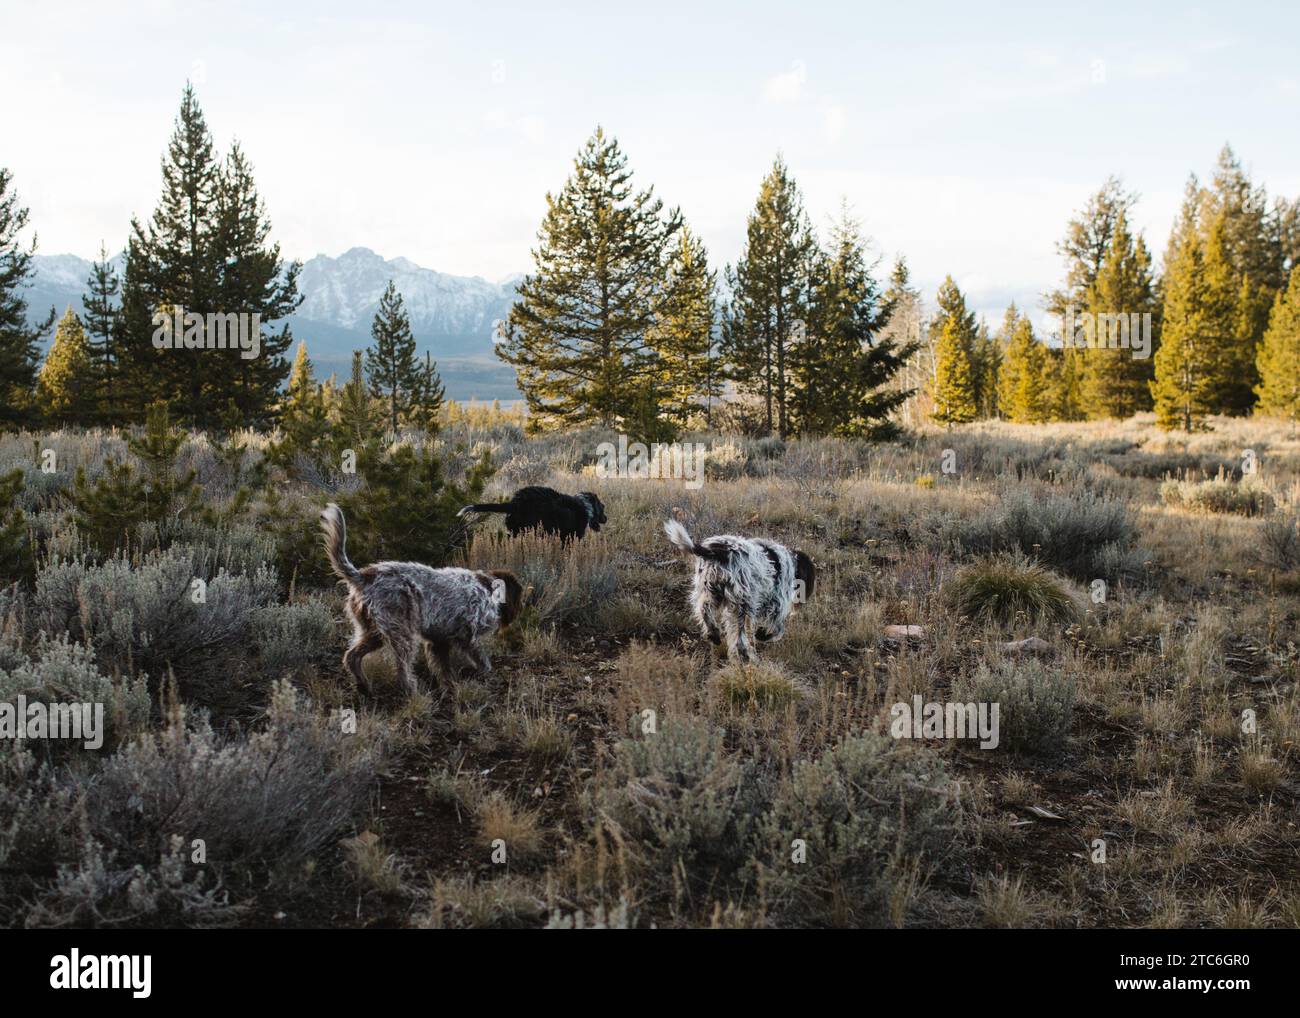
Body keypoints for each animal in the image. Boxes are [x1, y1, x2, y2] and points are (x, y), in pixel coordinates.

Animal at [319, 504, 522, 696]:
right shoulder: (466, 636)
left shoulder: (439, 641)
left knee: (351, 656)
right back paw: (412, 692)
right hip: (402, 634)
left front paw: (449, 688)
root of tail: (364, 576)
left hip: (373, 632)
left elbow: (444, 670)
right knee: (402, 670)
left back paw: (364, 687)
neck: (487, 588)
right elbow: (481, 661)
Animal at [660, 522, 811, 665]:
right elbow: (778, 629)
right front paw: (762, 635)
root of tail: (715, 551)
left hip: (710, 591)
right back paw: (745, 657)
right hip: (741, 604)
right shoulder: (776, 604)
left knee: (704, 609)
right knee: (739, 639)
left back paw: (714, 634)